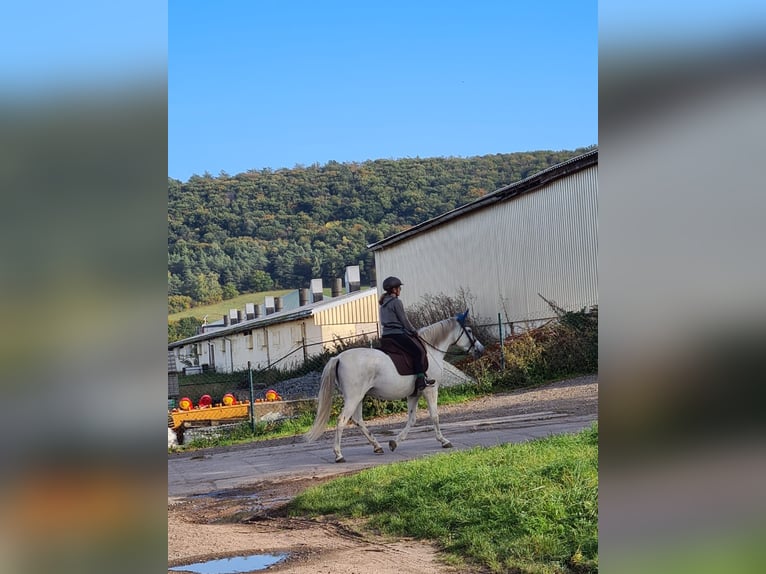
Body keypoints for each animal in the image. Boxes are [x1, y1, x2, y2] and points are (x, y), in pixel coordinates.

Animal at [305, 310, 485, 463]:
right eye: (469, 330)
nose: (480, 349)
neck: (430, 350)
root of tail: (338, 358)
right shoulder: (430, 390)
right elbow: (434, 416)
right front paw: (444, 441)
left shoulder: (414, 394)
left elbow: (412, 419)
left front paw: (394, 443)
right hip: (353, 397)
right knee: (342, 420)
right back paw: (339, 455)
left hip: (359, 397)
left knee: (357, 420)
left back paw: (377, 446)